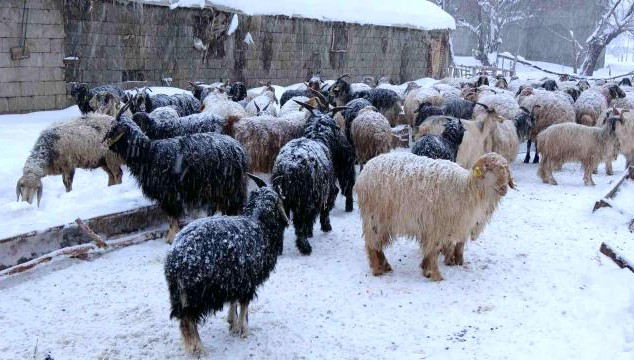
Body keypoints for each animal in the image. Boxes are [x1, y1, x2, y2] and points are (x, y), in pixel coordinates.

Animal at [103, 102, 247, 243]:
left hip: (229, 188)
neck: (148, 155)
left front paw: (171, 238)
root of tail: (239, 149)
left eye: (113, 129)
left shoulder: (169, 194)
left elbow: (172, 217)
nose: (104, 143)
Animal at [165, 174, 288, 354]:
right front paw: (243, 330)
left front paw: (232, 323)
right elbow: (244, 305)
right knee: (187, 320)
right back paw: (197, 349)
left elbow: (234, 301)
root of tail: (174, 257)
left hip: (180, 295)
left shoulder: (234, 280)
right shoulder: (248, 282)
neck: (259, 223)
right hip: (195, 293)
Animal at [272, 101, 350, 256]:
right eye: (337, 127)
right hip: (302, 199)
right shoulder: (326, 191)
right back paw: (305, 247)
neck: (318, 137)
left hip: (282, 197)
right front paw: (326, 227)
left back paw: (278, 248)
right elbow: (324, 211)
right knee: (299, 222)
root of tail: (288, 166)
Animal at [356, 152, 512, 282]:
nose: (504, 188)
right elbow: (433, 251)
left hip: (383, 221)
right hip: (374, 217)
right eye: (489, 169)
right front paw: (435, 274)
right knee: (371, 244)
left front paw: (425, 269)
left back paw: (385, 266)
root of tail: (364, 172)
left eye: (506, 170)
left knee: (377, 245)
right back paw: (377, 269)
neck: (466, 190)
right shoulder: (437, 227)